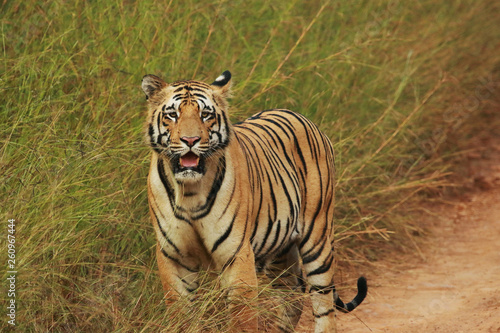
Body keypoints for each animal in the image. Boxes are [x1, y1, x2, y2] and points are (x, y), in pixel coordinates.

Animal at [142, 70, 368, 332]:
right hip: (280, 251)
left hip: (318, 236)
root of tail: (299, 115)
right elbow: (181, 316)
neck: (189, 191)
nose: (191, 140)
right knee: (292, 295)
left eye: (205, 114)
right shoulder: (173, 255)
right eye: (172, 115)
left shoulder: (236, 253)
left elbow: (242, 317)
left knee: (323, 304)